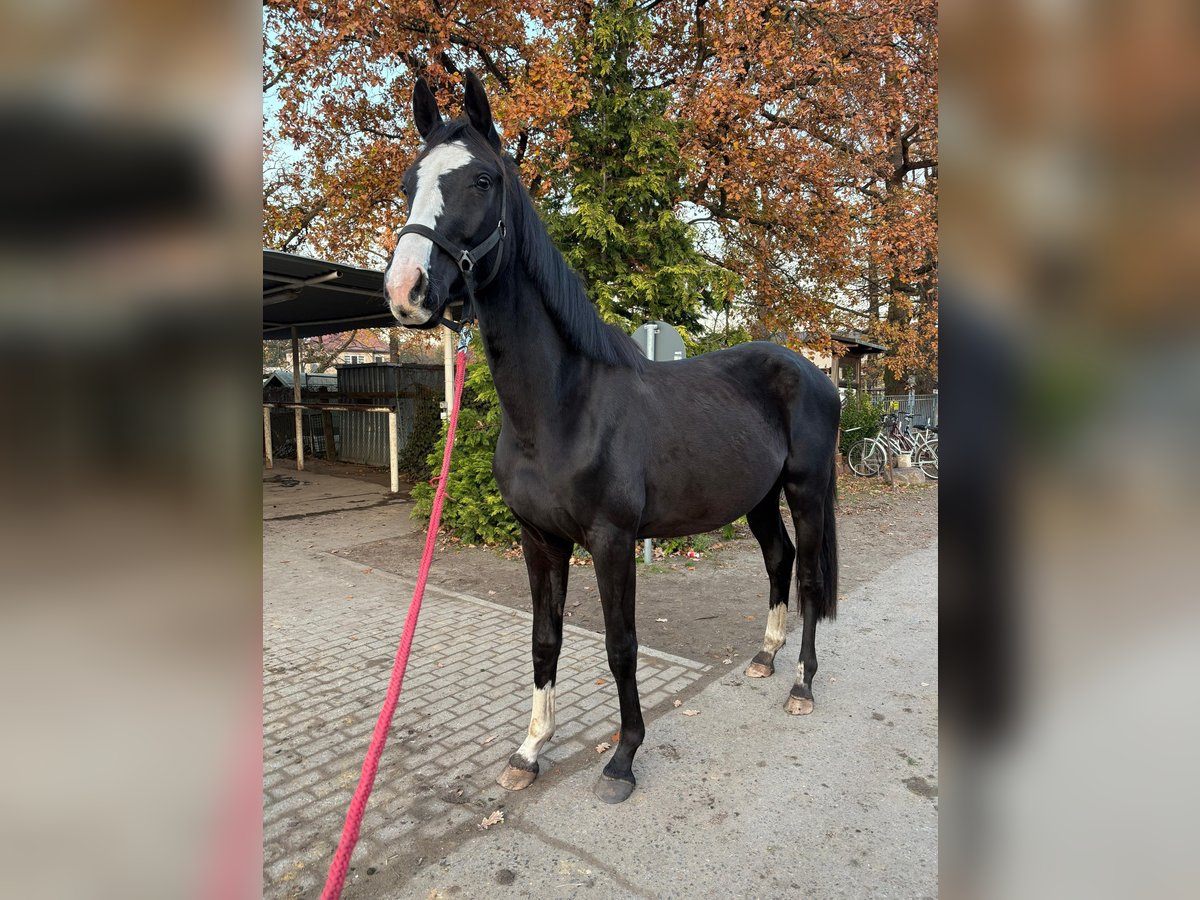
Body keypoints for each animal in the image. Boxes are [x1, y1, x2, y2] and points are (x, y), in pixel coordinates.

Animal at [386, 72, 841, 804]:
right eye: (409, 182)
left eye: (482, 180)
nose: (407, 289)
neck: (561, 409)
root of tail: (813, 372)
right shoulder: (539, 540)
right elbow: (544, 639)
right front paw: (529, 750)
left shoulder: (611, 540)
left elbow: (620, 645)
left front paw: (623, 757)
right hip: (758, 498)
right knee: (780, 560)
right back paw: (765, 659)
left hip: (804, 489)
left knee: (807, 578)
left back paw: (801, 682)